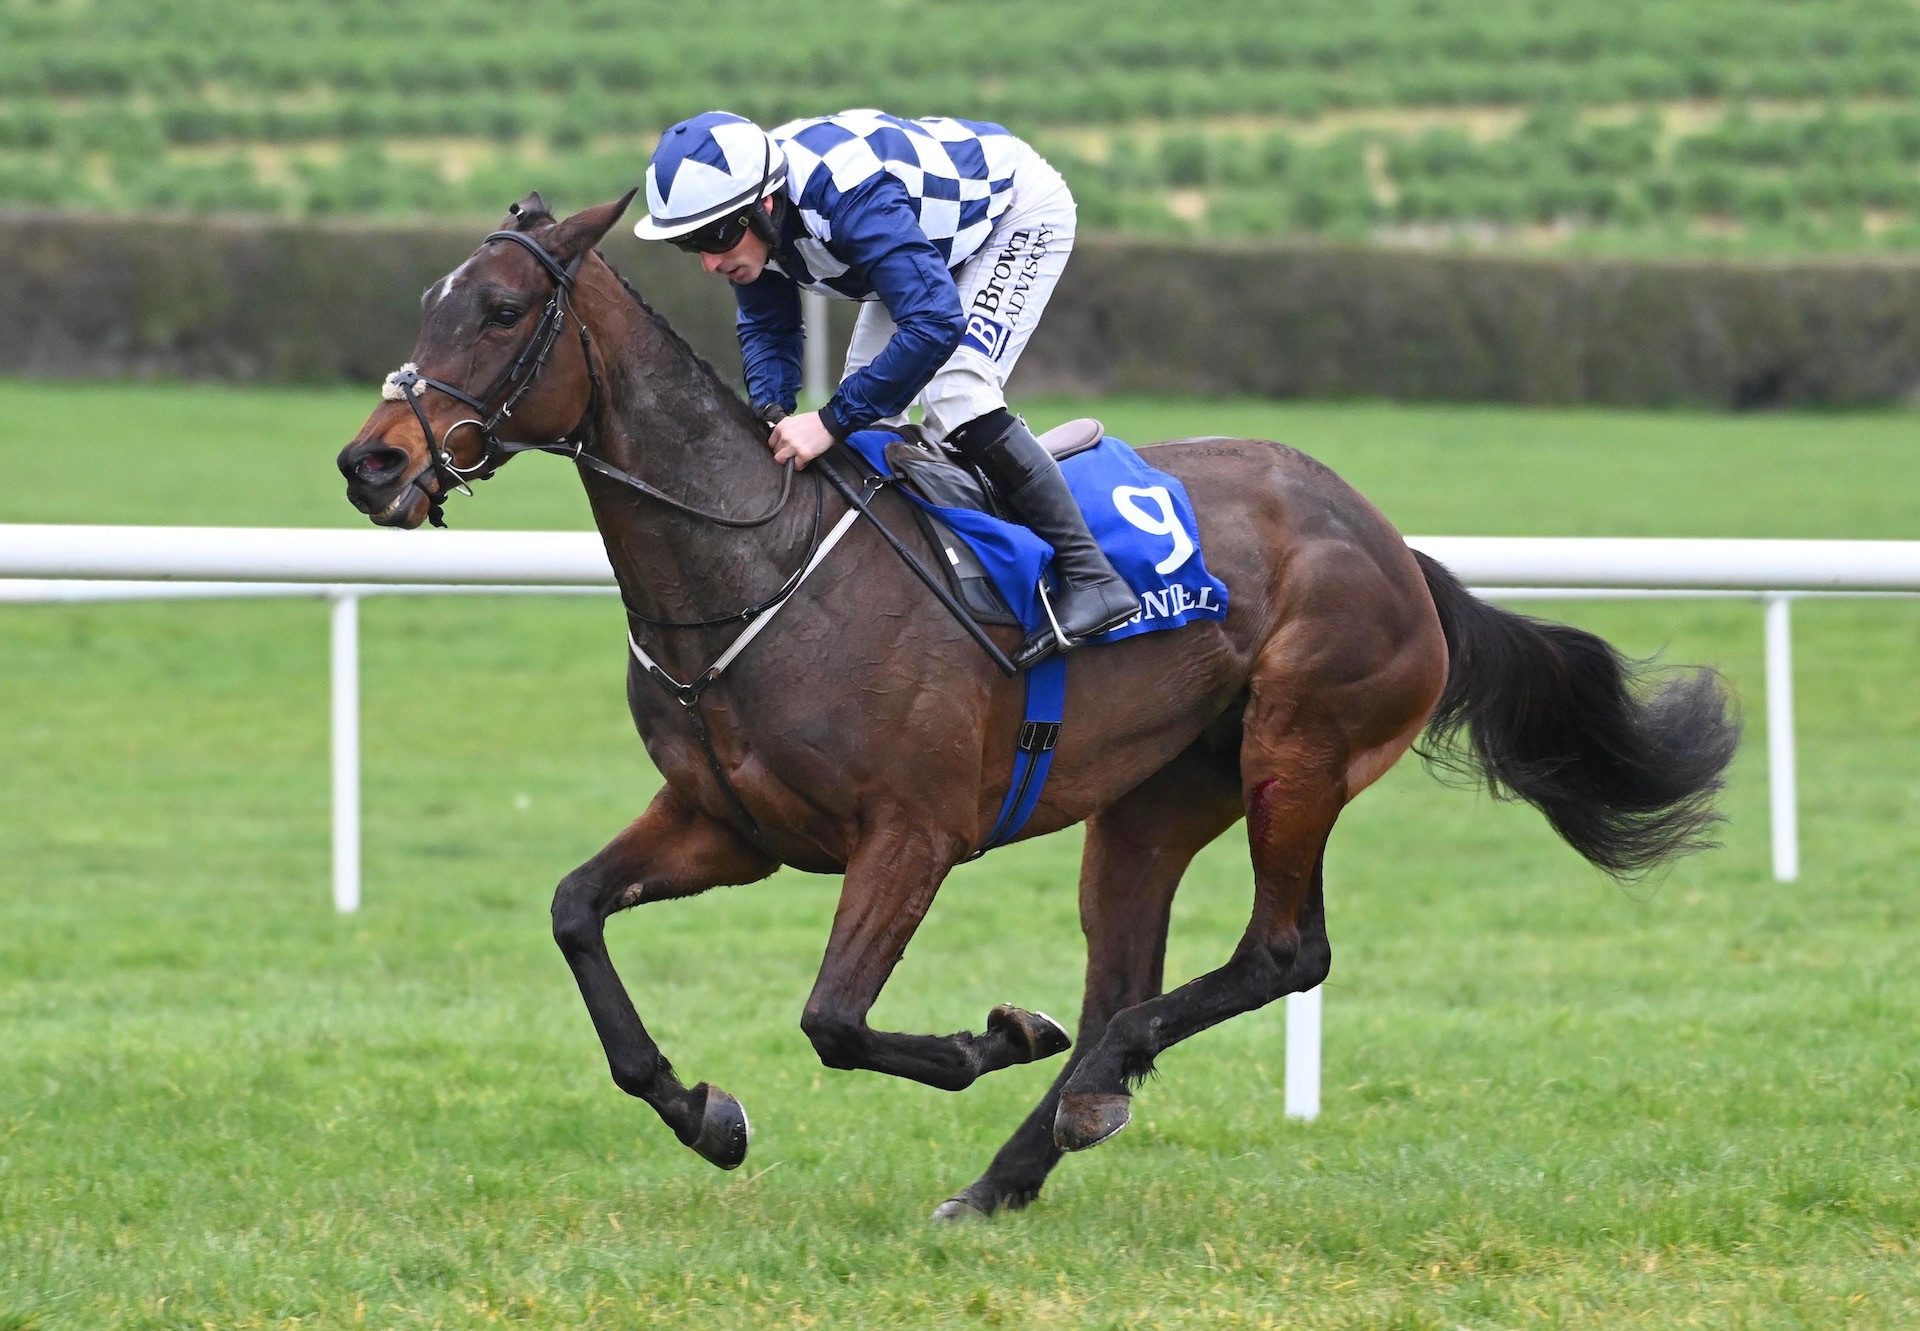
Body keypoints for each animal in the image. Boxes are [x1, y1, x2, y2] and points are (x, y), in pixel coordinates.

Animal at [334, 192, 1743, 1221]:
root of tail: (1397, 548)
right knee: (1129, 976)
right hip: (1156, 798)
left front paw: (987, 1035)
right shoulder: (728, 825)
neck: (756, 563)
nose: (370, 463)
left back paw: (1081, 1091)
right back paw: (1016, 1165)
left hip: (1301, 746)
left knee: (1282, 952)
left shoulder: (911, 834)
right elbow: (576, 913)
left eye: (502, 308)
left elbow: (834, 1018)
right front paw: (706, 1113)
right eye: (429, 303)